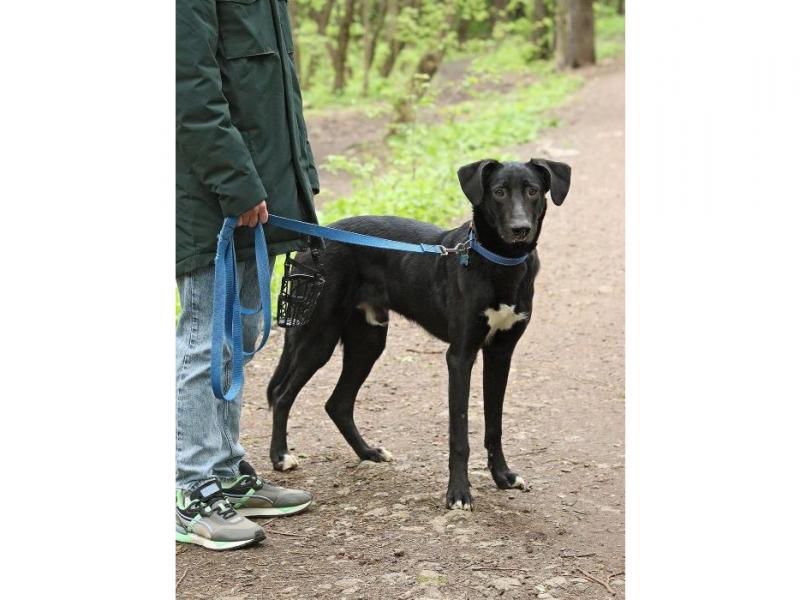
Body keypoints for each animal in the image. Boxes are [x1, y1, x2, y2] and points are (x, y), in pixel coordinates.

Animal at [268, 159, 568, 510]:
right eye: (499, 192)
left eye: (532, 191)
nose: (520, 228)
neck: (499, 262)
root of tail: (312, 243)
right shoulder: (460, 356)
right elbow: (459, 434)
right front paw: (458, 493)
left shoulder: (500, 354)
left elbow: (494, 425)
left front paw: (503, 477)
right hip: (319, 337)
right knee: (281, 395)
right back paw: (280, 456)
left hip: (368, 341)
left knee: (337, 403)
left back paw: (368, 453)